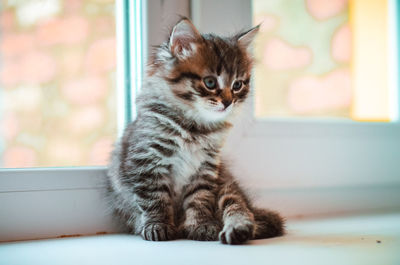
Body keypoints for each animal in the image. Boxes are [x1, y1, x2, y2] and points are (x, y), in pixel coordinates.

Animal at [106, 17, 284, 242]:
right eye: (210, 82)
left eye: (237, 85)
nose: (228, 102)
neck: (194, 127)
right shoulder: (147, 162)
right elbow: (155, 199)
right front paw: (158, 225)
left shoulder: (206, 169)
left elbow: (199, 199)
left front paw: (201, 225)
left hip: (225, 186)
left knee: (239, 208)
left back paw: (237, 230)